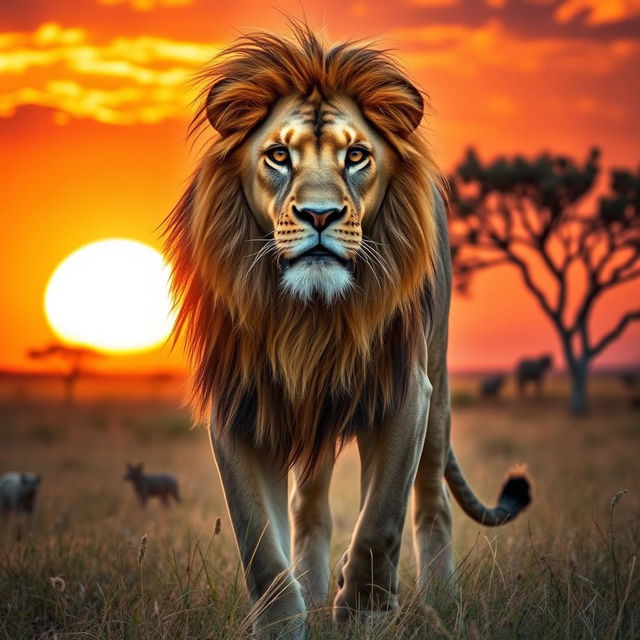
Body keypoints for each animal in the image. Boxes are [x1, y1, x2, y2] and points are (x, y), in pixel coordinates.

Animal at [164, 23, 531, 638]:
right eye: (278, 155)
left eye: (356, 155)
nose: (319, 216)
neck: (309, 316)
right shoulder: (239, 406)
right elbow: (259, 545)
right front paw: (285, 622)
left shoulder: (407, 395)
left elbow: (380, 520)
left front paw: (363, 610)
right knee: (309, 510)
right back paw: (315, 594)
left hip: (437, 387)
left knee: (429, 500)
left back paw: (441, 604)